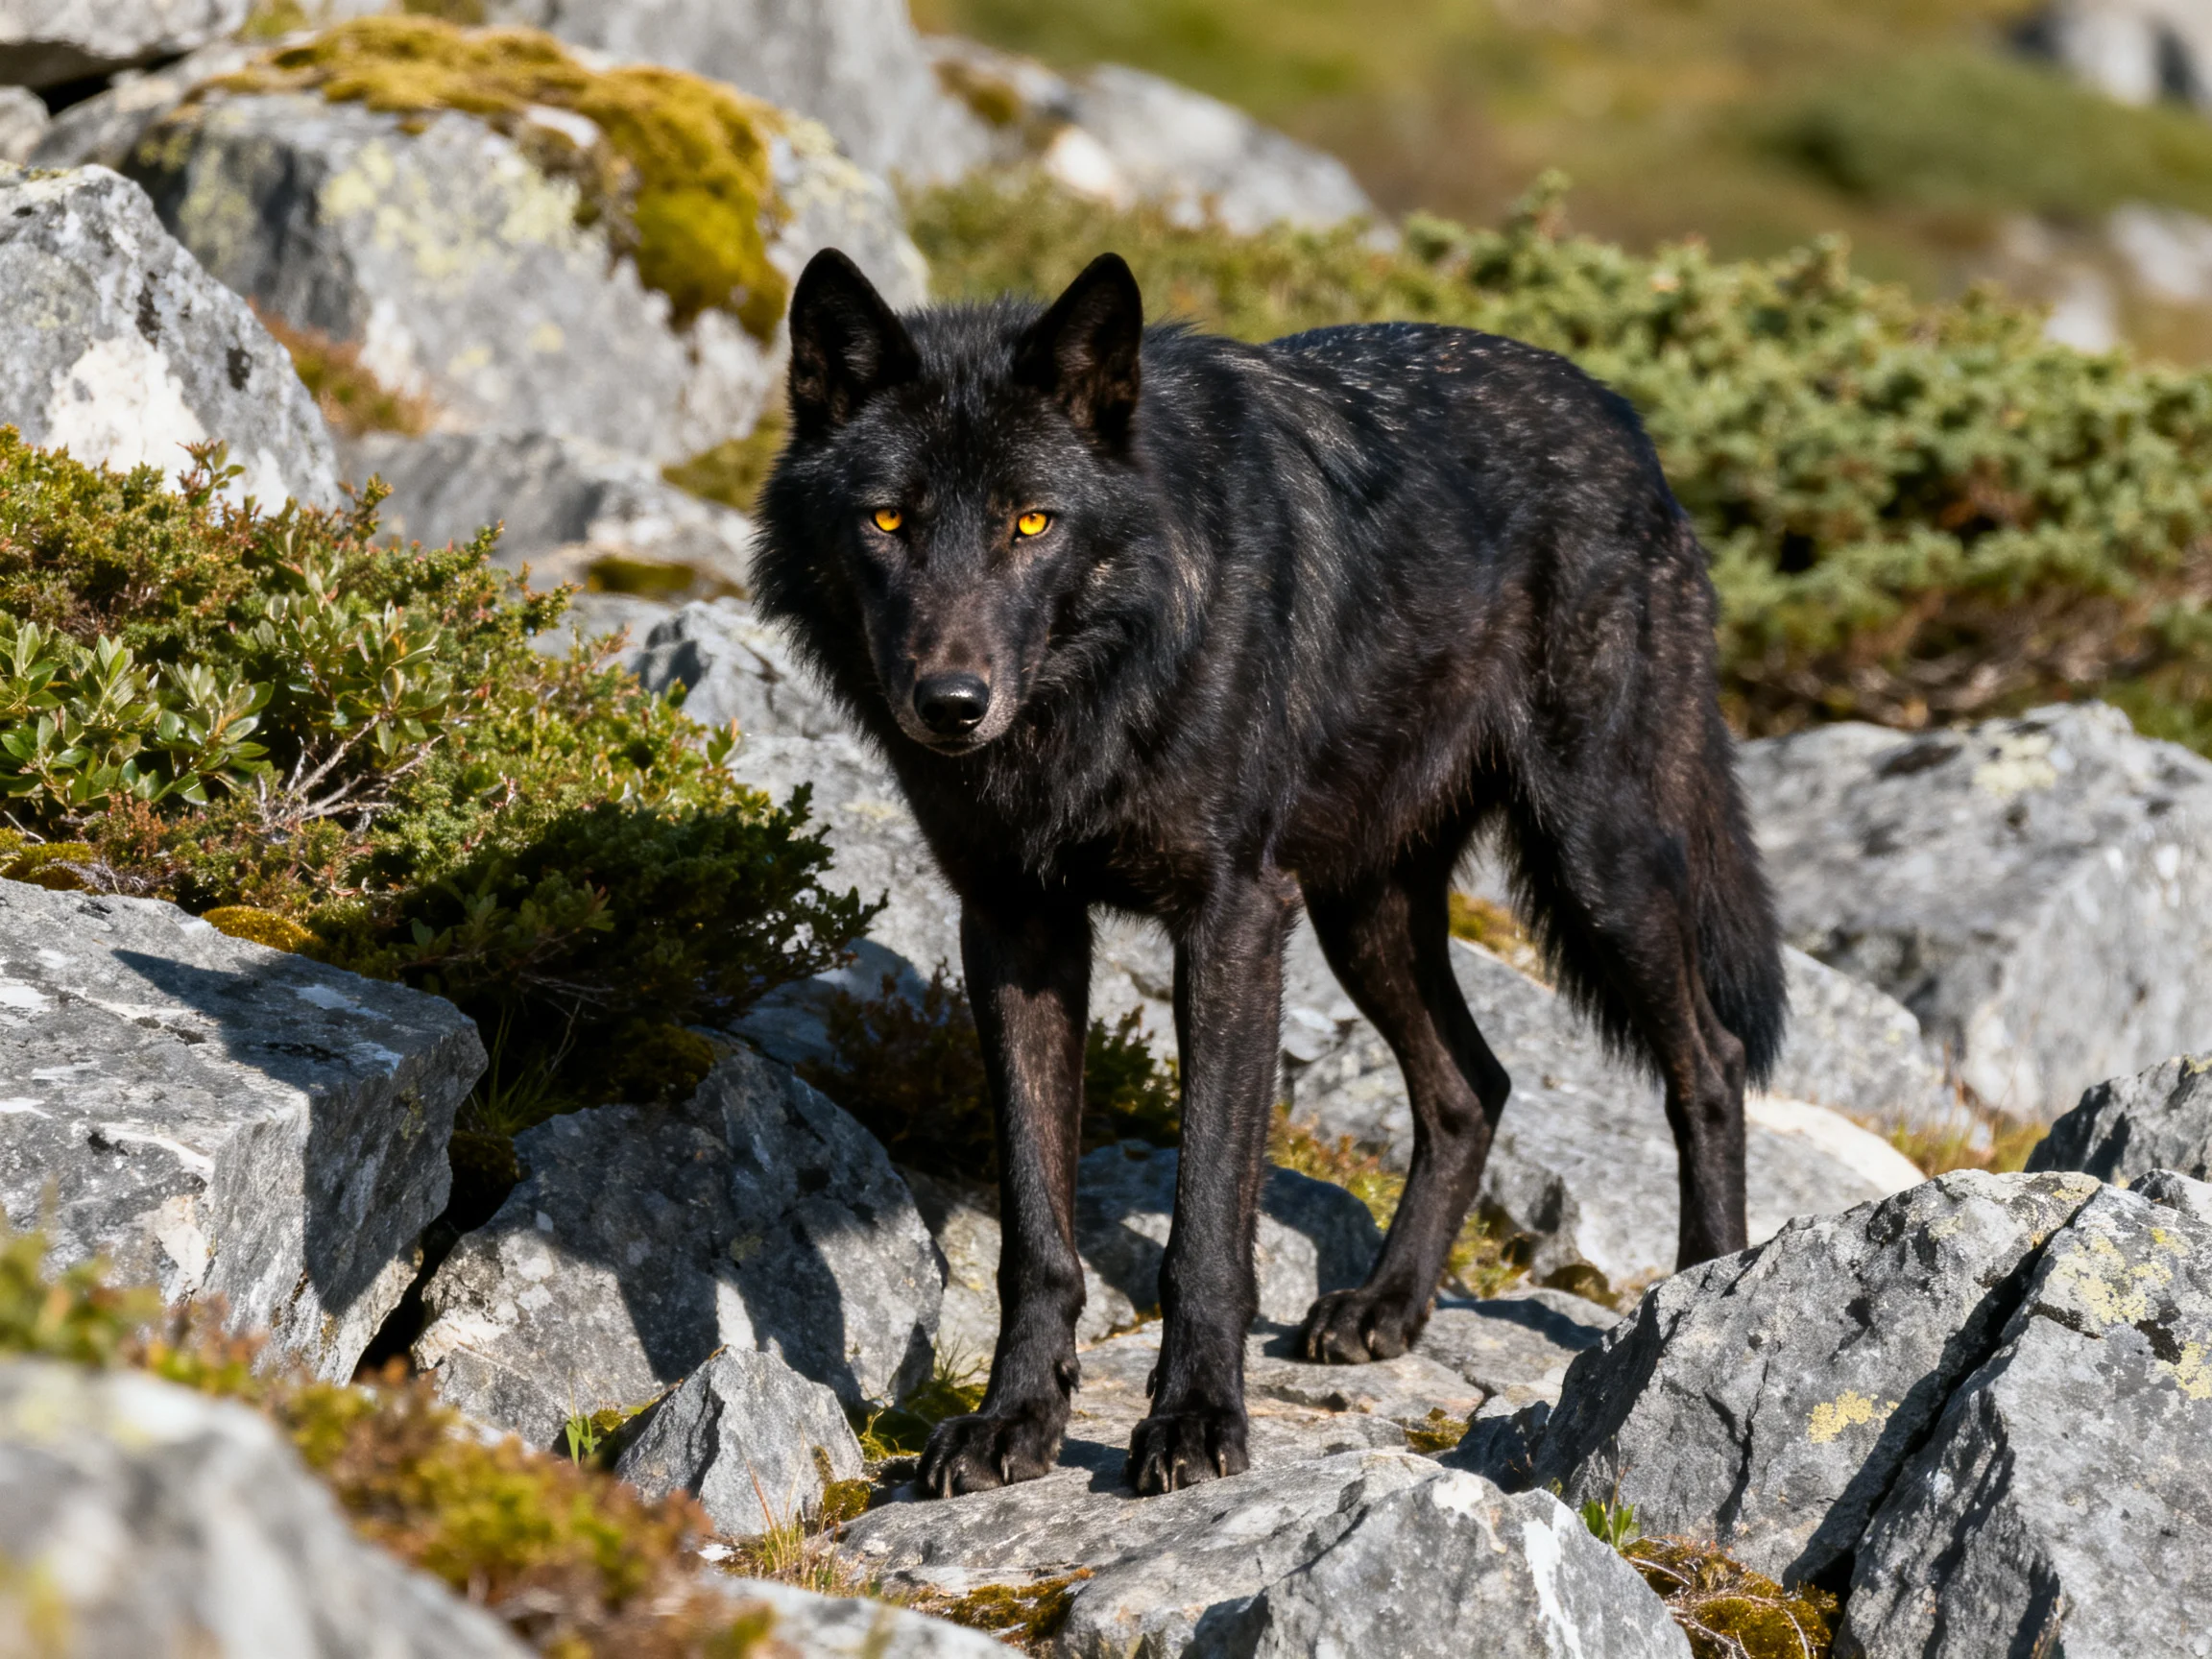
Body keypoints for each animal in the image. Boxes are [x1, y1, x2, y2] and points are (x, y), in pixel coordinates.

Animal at [754, 247, 1786, 1499]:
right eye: (888, 518)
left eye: (1032, 522)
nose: (952, 704)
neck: (1095, 695)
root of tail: (1621, 418)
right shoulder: (1015, 926)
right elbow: (1035, 1235)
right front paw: (1013, 1422)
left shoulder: (1232, 921)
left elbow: (1205, 1227)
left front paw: (1194, 1422)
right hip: (1363, 913)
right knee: (1472, 1086)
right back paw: (1388, 1307)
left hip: (1600, 866)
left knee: (1709, 1062)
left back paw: (1702, 1294)